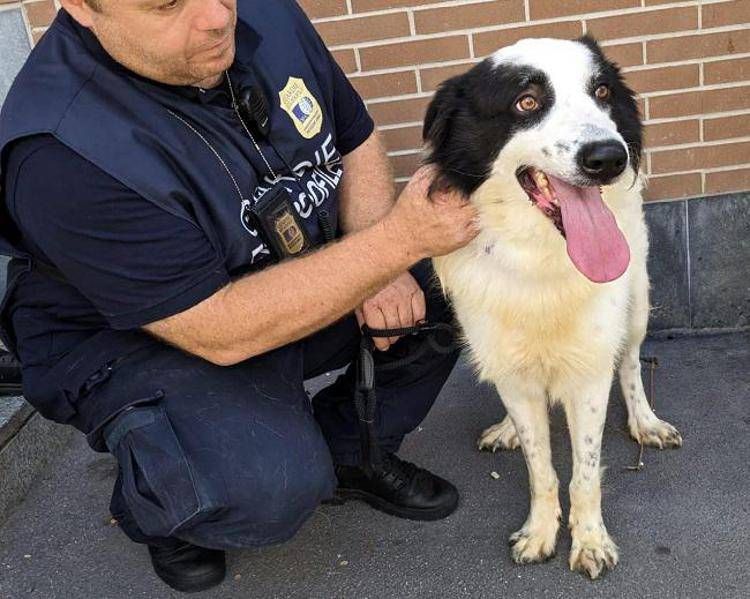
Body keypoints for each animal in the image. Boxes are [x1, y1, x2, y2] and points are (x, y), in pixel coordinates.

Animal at [426, 35, 684, 580]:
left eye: (602, 91)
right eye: (527, 101)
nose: (609, 157)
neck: (539, 257)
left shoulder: (589, 374)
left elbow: (583, 473)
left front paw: (589, 542)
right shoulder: (511, 367)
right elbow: (539, 466)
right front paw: (540, 532)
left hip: (637, 305)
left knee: (631, 363)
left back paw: (645, 421)